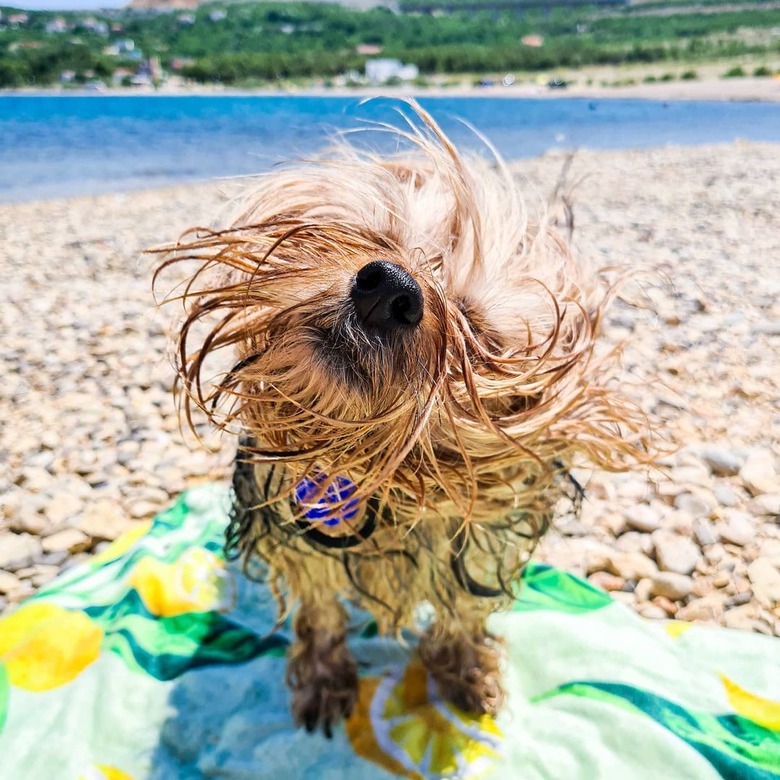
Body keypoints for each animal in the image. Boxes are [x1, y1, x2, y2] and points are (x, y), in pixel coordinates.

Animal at [152, 102, 644, 736]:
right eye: (385, 239)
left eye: (473, 324)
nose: (389, 288)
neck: (372, 474)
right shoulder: (299, 544)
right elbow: (319, 608)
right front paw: (323, 678)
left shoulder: (481, 547)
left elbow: (464, 610)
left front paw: (465, 670)